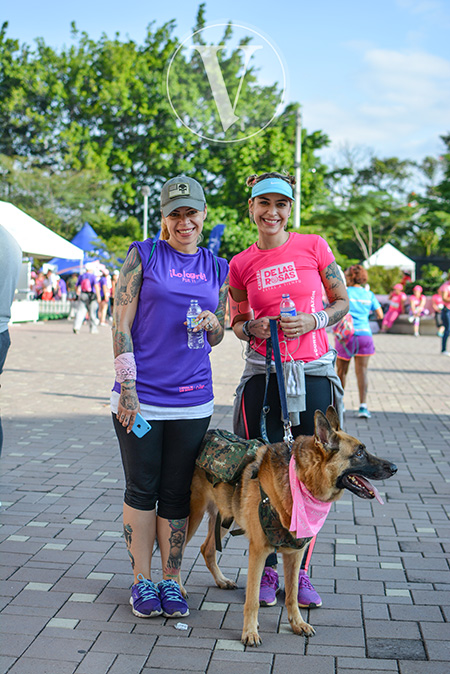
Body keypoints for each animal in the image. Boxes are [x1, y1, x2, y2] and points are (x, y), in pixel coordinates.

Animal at [186, 406, 398, 644]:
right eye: (359, 453)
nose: (395, 467)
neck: (299, 480)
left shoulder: (296, 553)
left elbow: (292, 594)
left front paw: (297, 623)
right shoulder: (258, 552)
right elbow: (252, 599)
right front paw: (250, 632)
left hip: (224, 517)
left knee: (207, 549)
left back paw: (221, 581)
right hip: (192, 516)